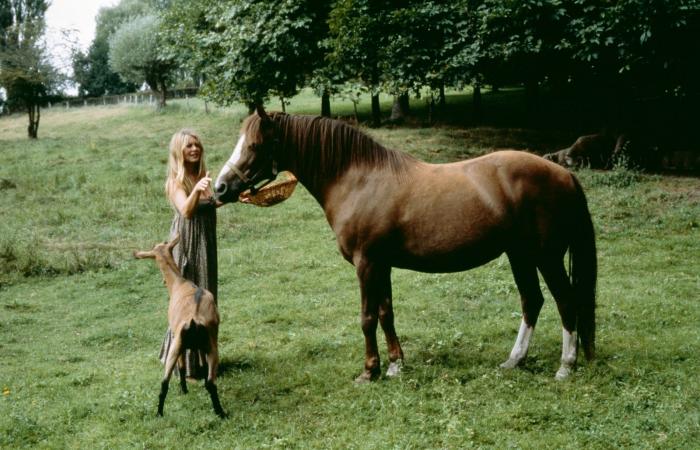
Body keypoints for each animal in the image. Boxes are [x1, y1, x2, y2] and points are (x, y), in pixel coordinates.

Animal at [133, 236, 224, 418]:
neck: (179, 283)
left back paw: (159, 414)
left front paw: (184, 389)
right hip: (205, 346)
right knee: (209, 382)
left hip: (179, 346)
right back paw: (221, 412)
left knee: (164, 382)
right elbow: (188, 366)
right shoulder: (185, 340)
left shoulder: (179, 340)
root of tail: (194, 320)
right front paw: (185, 389)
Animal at [215, 108, 596, 380]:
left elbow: (368, 317)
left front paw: (370, 371)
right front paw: (396, 365)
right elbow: (386, 313)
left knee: (566, 301)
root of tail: (563, 173)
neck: (357, 179)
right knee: (532, 301)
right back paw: (513, 361)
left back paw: (566, 365)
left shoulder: (367, 264)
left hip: (546, 257)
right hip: (520, 255)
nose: (219, 187)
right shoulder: (381, 264)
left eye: (254, 145)